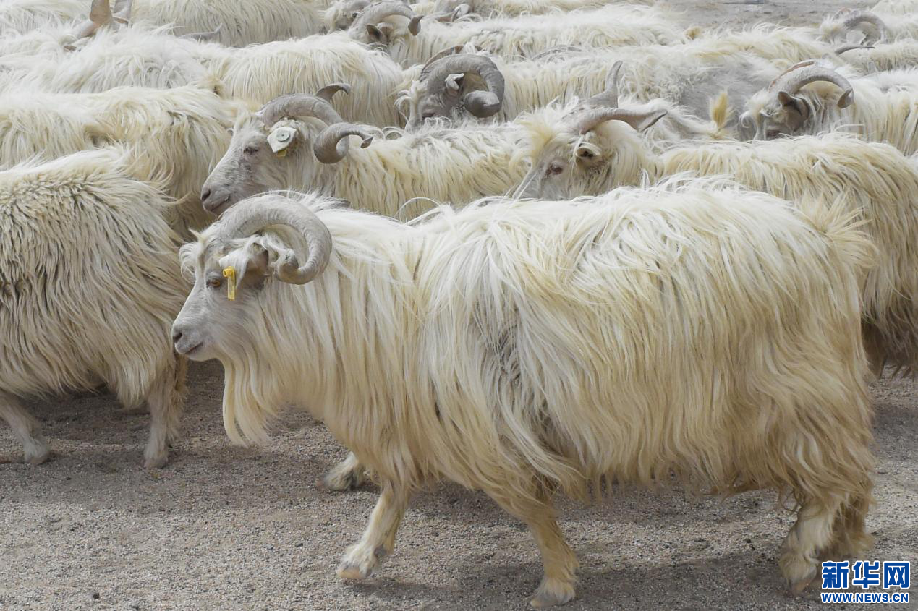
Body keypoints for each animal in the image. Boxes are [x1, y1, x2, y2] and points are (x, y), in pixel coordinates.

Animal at [0, 147, 188, 468]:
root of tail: (137, 186)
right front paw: (36, 447)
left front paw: (34, 449)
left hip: (123, 317)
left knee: (163, 374)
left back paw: (156, 452)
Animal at [170, 184, 876, 607]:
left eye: (217, 279)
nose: (176, 337)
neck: (388, 306)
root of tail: (825, 237)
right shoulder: (421, 420)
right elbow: (393, 494)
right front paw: (362, 561)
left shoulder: (492, 435)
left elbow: (530, 509)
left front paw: (557, 582)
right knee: (852, 479)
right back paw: (845, 549)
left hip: (796, 398)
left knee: (836, 479)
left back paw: (798, 557)